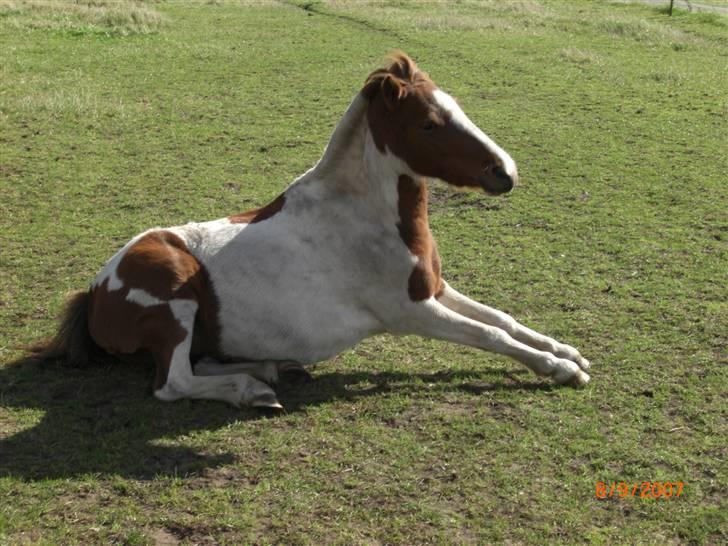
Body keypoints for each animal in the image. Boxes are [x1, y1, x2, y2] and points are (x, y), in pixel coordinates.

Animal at [35, 52, 590, 409]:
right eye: (429, 124)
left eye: (455, 105)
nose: (506, 172)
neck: (365, 218)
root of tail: (95, 291)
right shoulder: (412, 312)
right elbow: (491, 334)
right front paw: (562, 371)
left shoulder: (435, 290)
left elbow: (504, 319)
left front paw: (565, 351)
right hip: (176, 302)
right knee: (172, 382)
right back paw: (253, 391)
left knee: (201, 362)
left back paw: (272, 369)